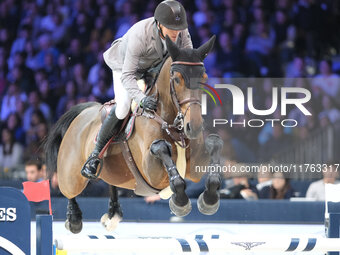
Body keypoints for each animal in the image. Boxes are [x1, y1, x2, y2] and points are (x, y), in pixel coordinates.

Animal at [44, 35, 223, 233]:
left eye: (203, 77)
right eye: (177, 79)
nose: (194, 127)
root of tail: (82, 113)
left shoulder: (196, 166)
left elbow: (214, 143)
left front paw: (209, 201)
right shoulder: (152, 173)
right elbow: (161, 150)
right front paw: (180, 203)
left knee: (111, 182)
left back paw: (113, 214)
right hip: (71, 175)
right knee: (69, 190)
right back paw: (74, 218)